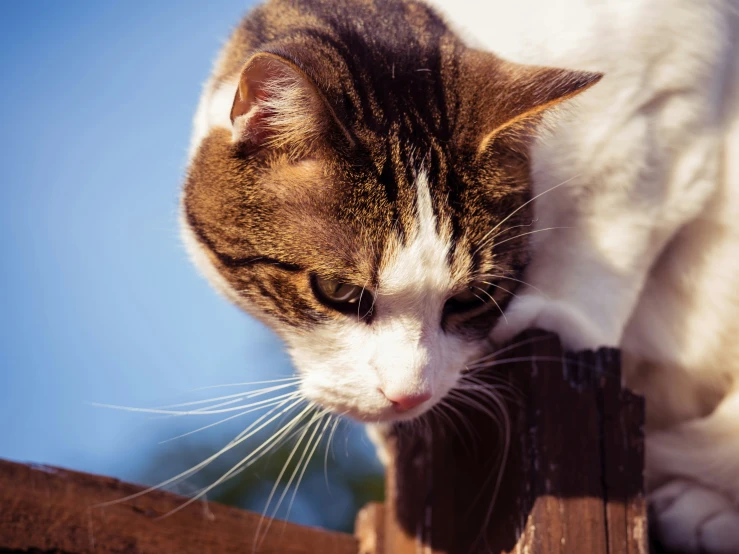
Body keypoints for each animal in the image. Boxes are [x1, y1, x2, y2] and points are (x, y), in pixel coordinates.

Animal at [181, 0, 739, 548]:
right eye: (338, 291)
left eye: (472, 298)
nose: (409, 395)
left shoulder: (676, 72)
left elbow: (623, 210)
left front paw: (563, 316)